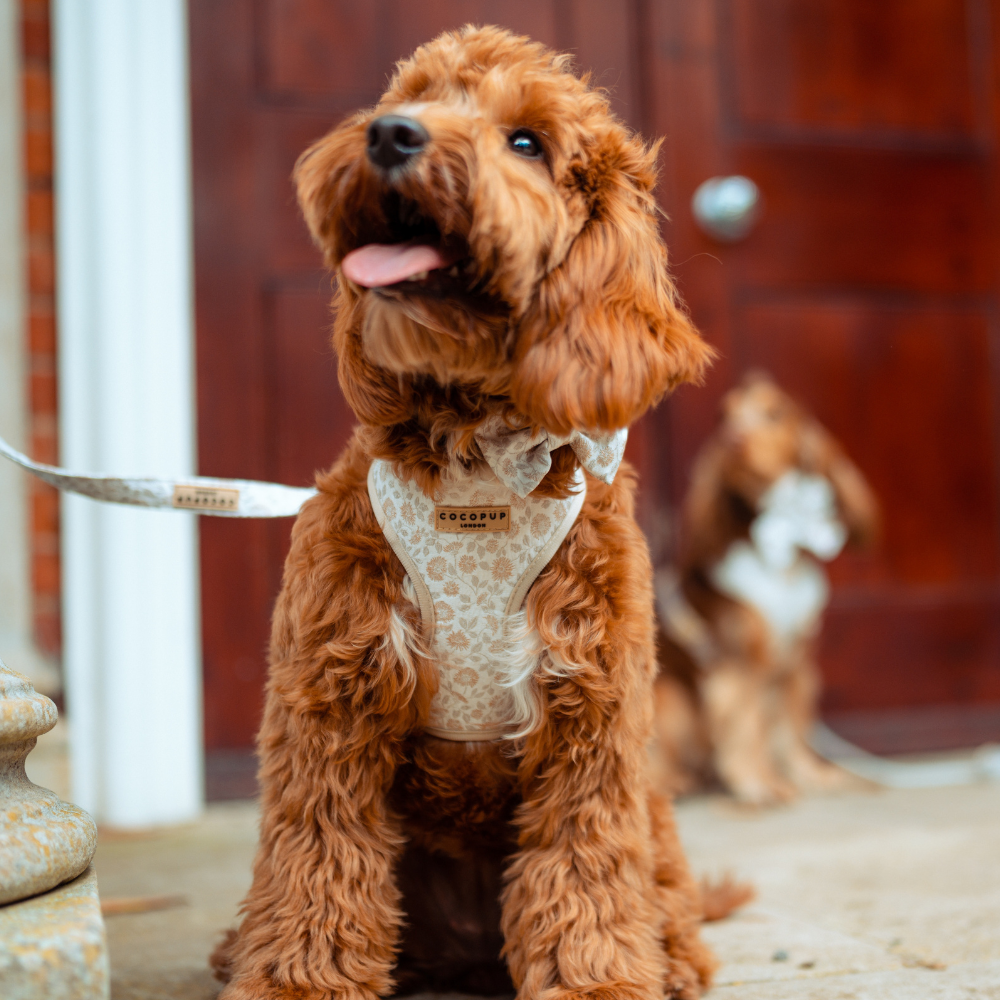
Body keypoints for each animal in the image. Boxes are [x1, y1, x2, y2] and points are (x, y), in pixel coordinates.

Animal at [213, 23, 728, 1000]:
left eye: (526, 142)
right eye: (410, 97)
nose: (391, 135)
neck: (477, 466)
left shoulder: (591, 718)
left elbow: (585, 874)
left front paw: (598, 980)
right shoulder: (330, 702)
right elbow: (315, 861)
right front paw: (298, 980)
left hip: (651, 804)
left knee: (663, 887)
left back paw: (675, 956)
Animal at [656, 374, 876, 804]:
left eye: (774, 414)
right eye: (724, 417)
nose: (733, 440)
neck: (781, 557)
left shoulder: (796, 663)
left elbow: (791, 728)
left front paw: (811, 775)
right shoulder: (739, 665)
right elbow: (748, 728)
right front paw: (759, 784)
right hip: (670, 692)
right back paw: (670, 784)